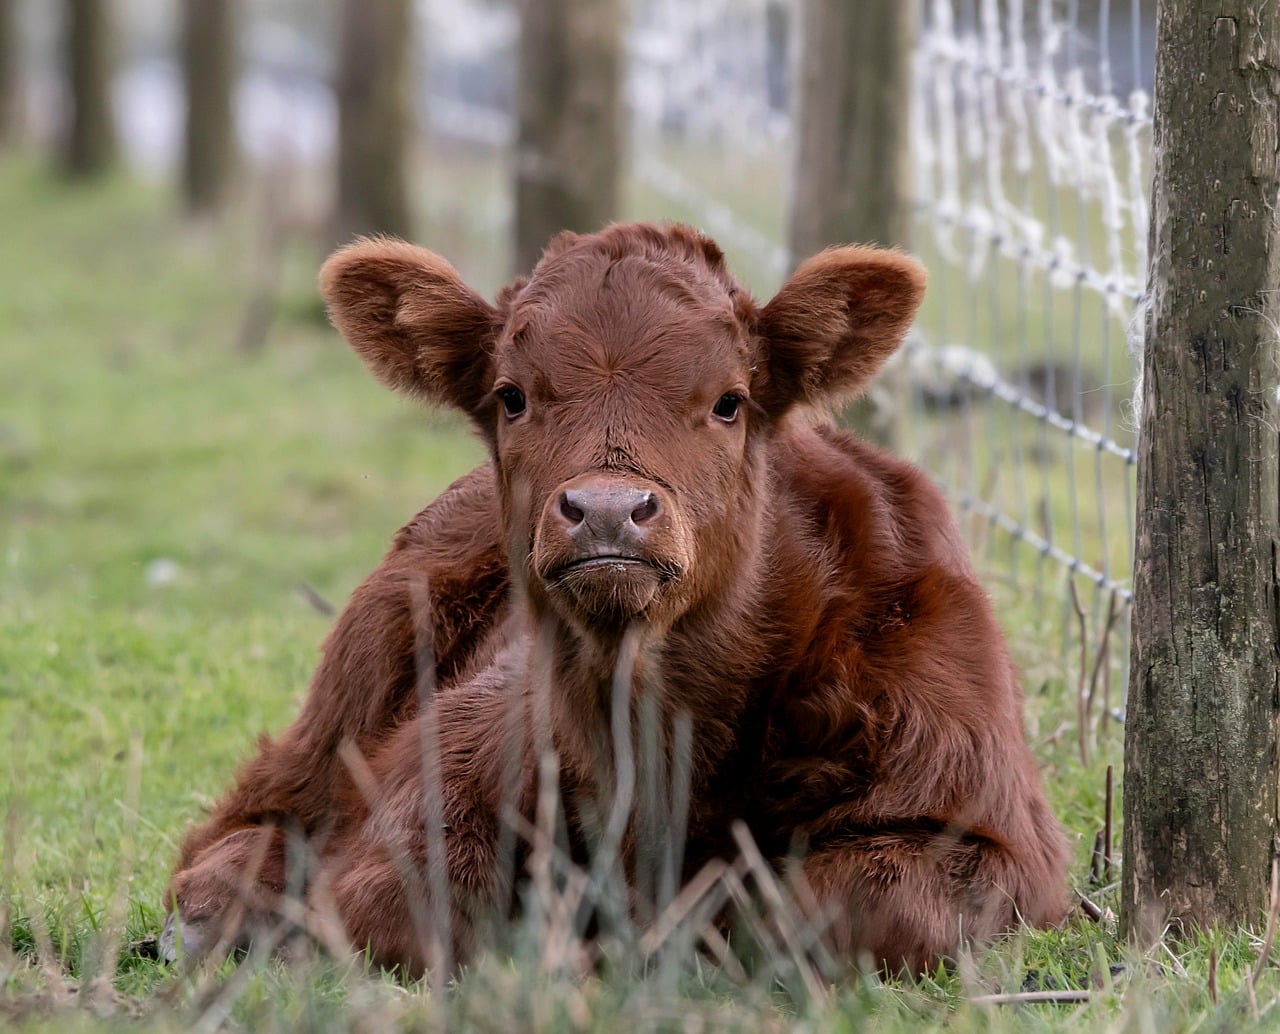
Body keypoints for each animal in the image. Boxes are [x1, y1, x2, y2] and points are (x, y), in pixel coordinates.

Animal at [165, 222, 1070, 976]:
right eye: (512, 396)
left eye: (729, 400)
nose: (606, 509)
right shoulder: (446, 765)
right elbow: (412, 901)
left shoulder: (992, 838)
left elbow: (844, 911)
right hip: (358, 668)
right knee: (244, 821)